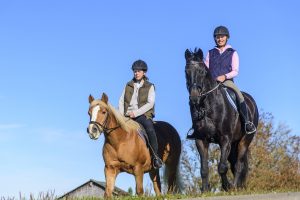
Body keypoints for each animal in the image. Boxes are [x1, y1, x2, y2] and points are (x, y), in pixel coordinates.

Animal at [184, 48, 258, 191]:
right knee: (234, 162)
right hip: (234, 143)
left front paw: (227, 186)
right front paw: (205, 190)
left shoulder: (225, 139)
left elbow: (222, 167)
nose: (194, 98)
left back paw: (235, 187)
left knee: (239, 164)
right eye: (186, 72)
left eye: (202, 71)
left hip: (244, 140)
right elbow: (204, 169)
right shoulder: (200, 140)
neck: (207, 106)